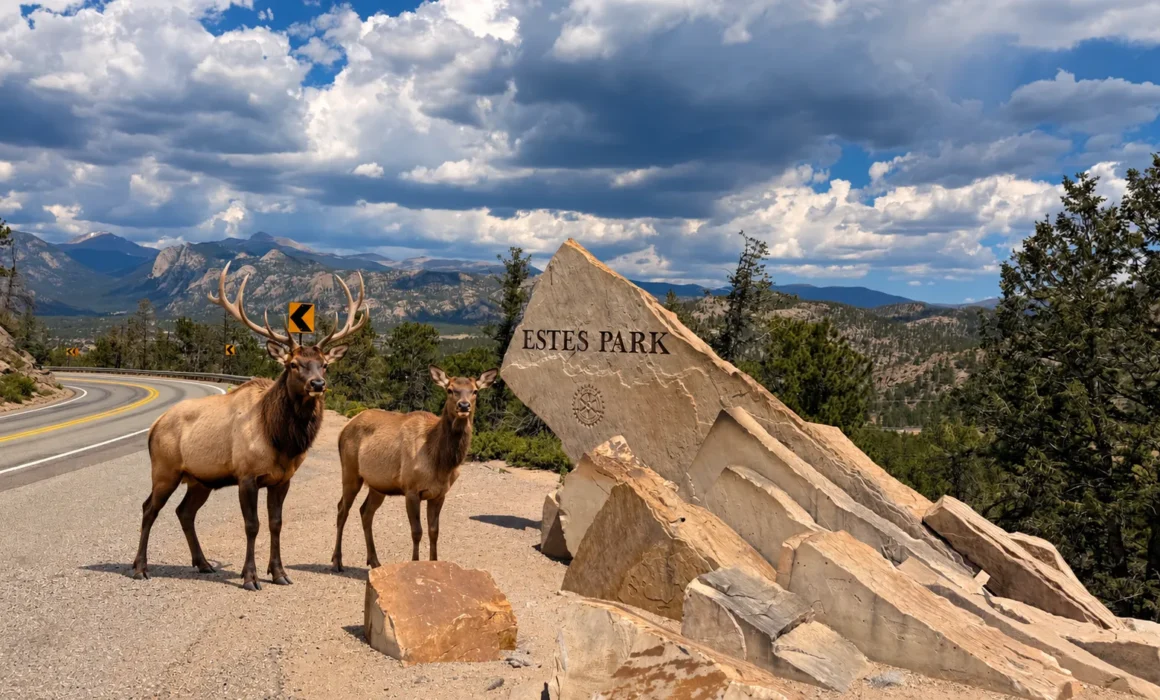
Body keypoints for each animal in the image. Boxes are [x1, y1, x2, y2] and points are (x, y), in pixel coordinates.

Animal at [132, 261, 368, 591]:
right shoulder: (246, 475)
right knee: (149, 508)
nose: (318, 384)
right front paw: (250, 577)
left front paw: (280, 573)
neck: (281, 440)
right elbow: (252, 525)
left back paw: (203, 564)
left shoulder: (283, 478)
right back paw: (140, 567)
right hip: (165, 469)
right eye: (293, 364)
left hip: (200, 479)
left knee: (184, 512)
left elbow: (276, 523)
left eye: (325, 365)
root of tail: (154, 426)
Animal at [330, 365, 498, 570]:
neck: (441, 463)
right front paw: (415, 564)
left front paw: (435, 564)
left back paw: (374, 561)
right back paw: (337, 561)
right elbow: (416, 531)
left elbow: (434, 531)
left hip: (378, 485)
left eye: (475, 391)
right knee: (342, 509)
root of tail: (344, 429)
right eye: (450, 390)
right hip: (350, 471)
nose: (464, 406)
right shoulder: (411, 489)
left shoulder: (439, 493)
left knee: (365, 511)